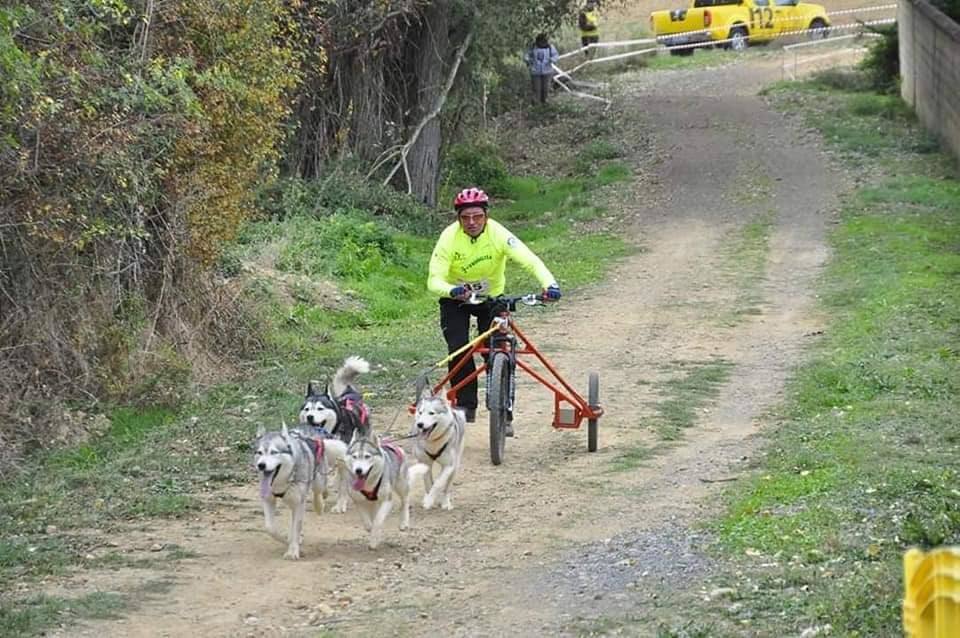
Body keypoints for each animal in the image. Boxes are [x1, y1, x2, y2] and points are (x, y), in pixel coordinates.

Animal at [253, 424, 346, 560]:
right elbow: (270, 528)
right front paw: (286, 539)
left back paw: (319, 505)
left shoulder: (299, 503)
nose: (261, 465)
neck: (283, 480)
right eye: (259, 452)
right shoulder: (268, 499)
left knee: (319, 490)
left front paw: (292, 550)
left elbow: (296, 526)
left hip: (317, 479)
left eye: (274, 452)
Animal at [300, 356, 372, 516]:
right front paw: (323, 495)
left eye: (320, 408)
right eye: (307, 409)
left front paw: (340, 504)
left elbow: (343, 487)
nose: (309, 417)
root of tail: (350, 393)